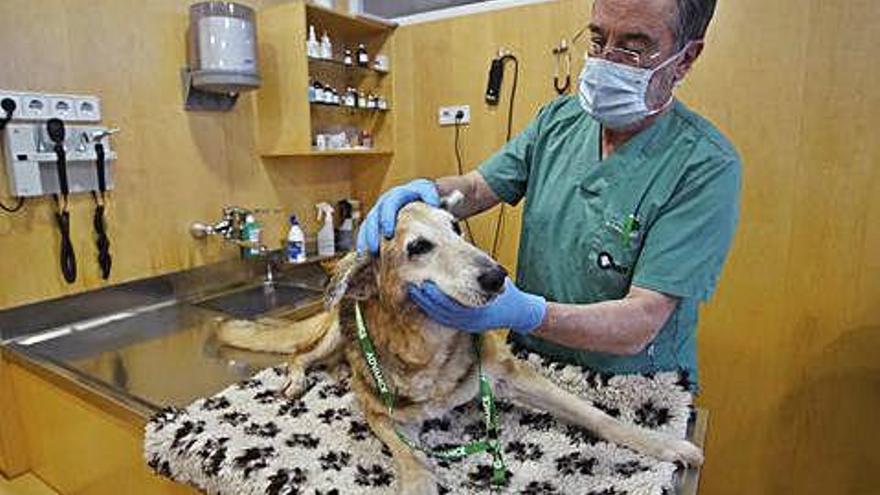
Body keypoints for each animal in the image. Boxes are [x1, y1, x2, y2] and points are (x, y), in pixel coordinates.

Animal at [217, 200, 704, 494]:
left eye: (456, 228)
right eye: (418, 246)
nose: (497, 277)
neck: (429, 345)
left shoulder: (512, 375)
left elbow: (597, 416)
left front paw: (661, 444)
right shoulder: (380, 415)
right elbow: (410, 459)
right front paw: (418, 481)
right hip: (338, 329)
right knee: (301, 354)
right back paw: (299, 379)